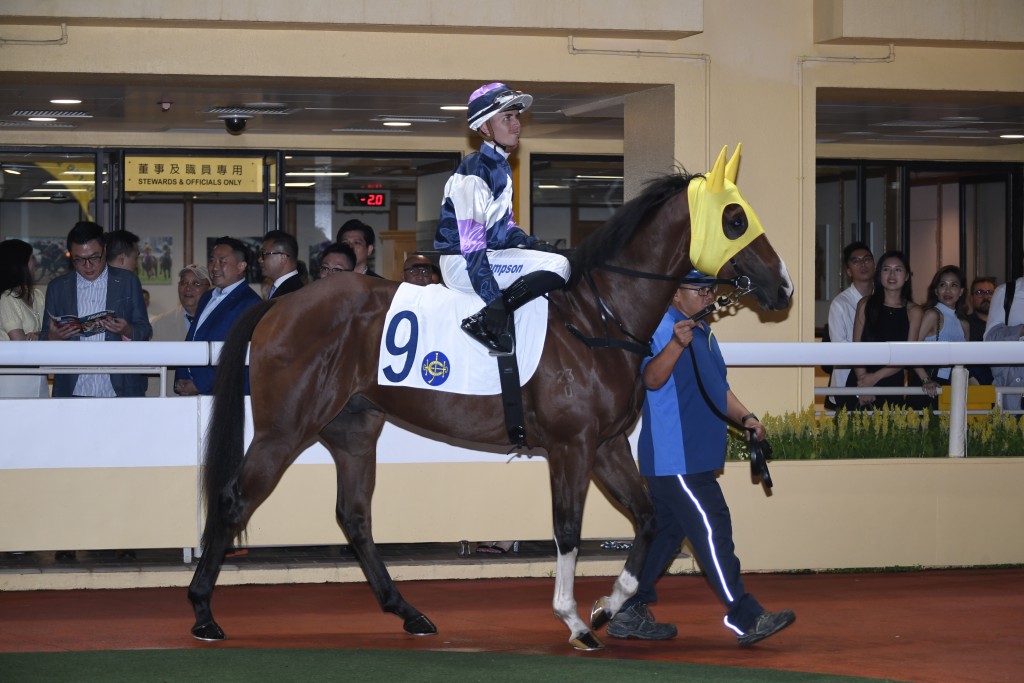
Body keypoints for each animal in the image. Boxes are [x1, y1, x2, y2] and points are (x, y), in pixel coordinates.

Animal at [188, 149, 790, 651]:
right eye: (735, 219)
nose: (783, 285)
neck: (598, 319)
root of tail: (279, 303)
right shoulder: (572, 447)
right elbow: (567, 527)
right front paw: (574, 619)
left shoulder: (608, 445)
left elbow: (647, 518)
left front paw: (606, 606)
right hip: (284, 430)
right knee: (234, 499)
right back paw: (202, 613)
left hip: (354, 430)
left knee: (354, 516)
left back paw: (408, 612)